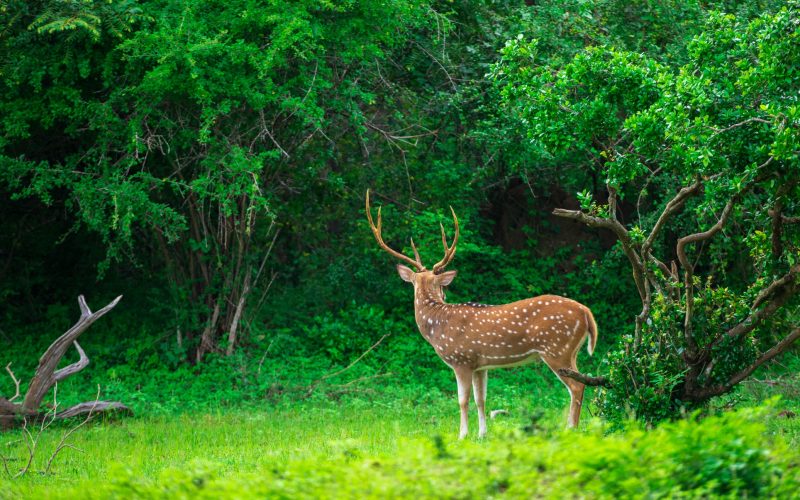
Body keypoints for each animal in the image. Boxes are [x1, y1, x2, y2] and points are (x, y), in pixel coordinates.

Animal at [366, 190, 598, 438]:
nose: (445, 295)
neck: (437, 324)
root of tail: (586, 312)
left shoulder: (461, 359)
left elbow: (462, 400)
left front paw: (462, 435)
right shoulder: (480, 365)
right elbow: (481, 399)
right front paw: (482, 434)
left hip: (557, 349)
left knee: (577, 386)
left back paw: (571, 429)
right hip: (569, 352)